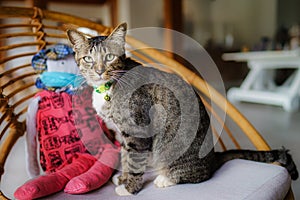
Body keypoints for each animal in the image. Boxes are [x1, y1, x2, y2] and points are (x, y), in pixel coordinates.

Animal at [67, 23, 298, 195]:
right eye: (88, 58)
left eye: (109, 57)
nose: (99, 71)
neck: (109, 86)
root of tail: (213, 158)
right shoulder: (121, 134)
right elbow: (125, 157)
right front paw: (123, 178)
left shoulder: (137, 131)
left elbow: (134, 162)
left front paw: (130, 188)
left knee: (198, 175)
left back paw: (165, 179)